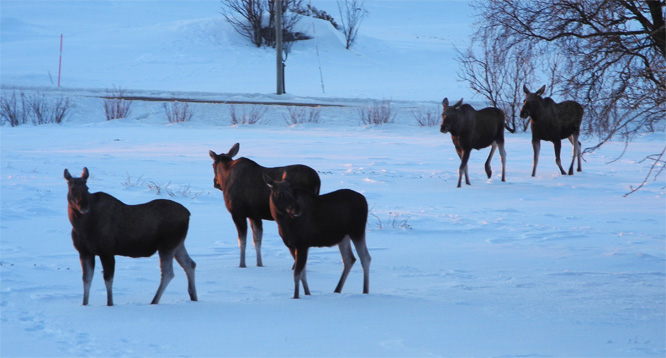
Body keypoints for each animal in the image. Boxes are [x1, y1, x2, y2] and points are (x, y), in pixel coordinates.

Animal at [63, 167, 196, 304]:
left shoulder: (107, 251)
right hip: (178, 244)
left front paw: (110, 304)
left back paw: (154, 301)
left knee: (168, 272)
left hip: (167, 245)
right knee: (190, 264)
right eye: (72, 189)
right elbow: (87, 280)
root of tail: (188, 214)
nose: (84, 206)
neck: (81, 226)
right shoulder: (84, 252)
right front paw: (84, 304)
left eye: (87, 188)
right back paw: (193, 297)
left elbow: (108, 280)